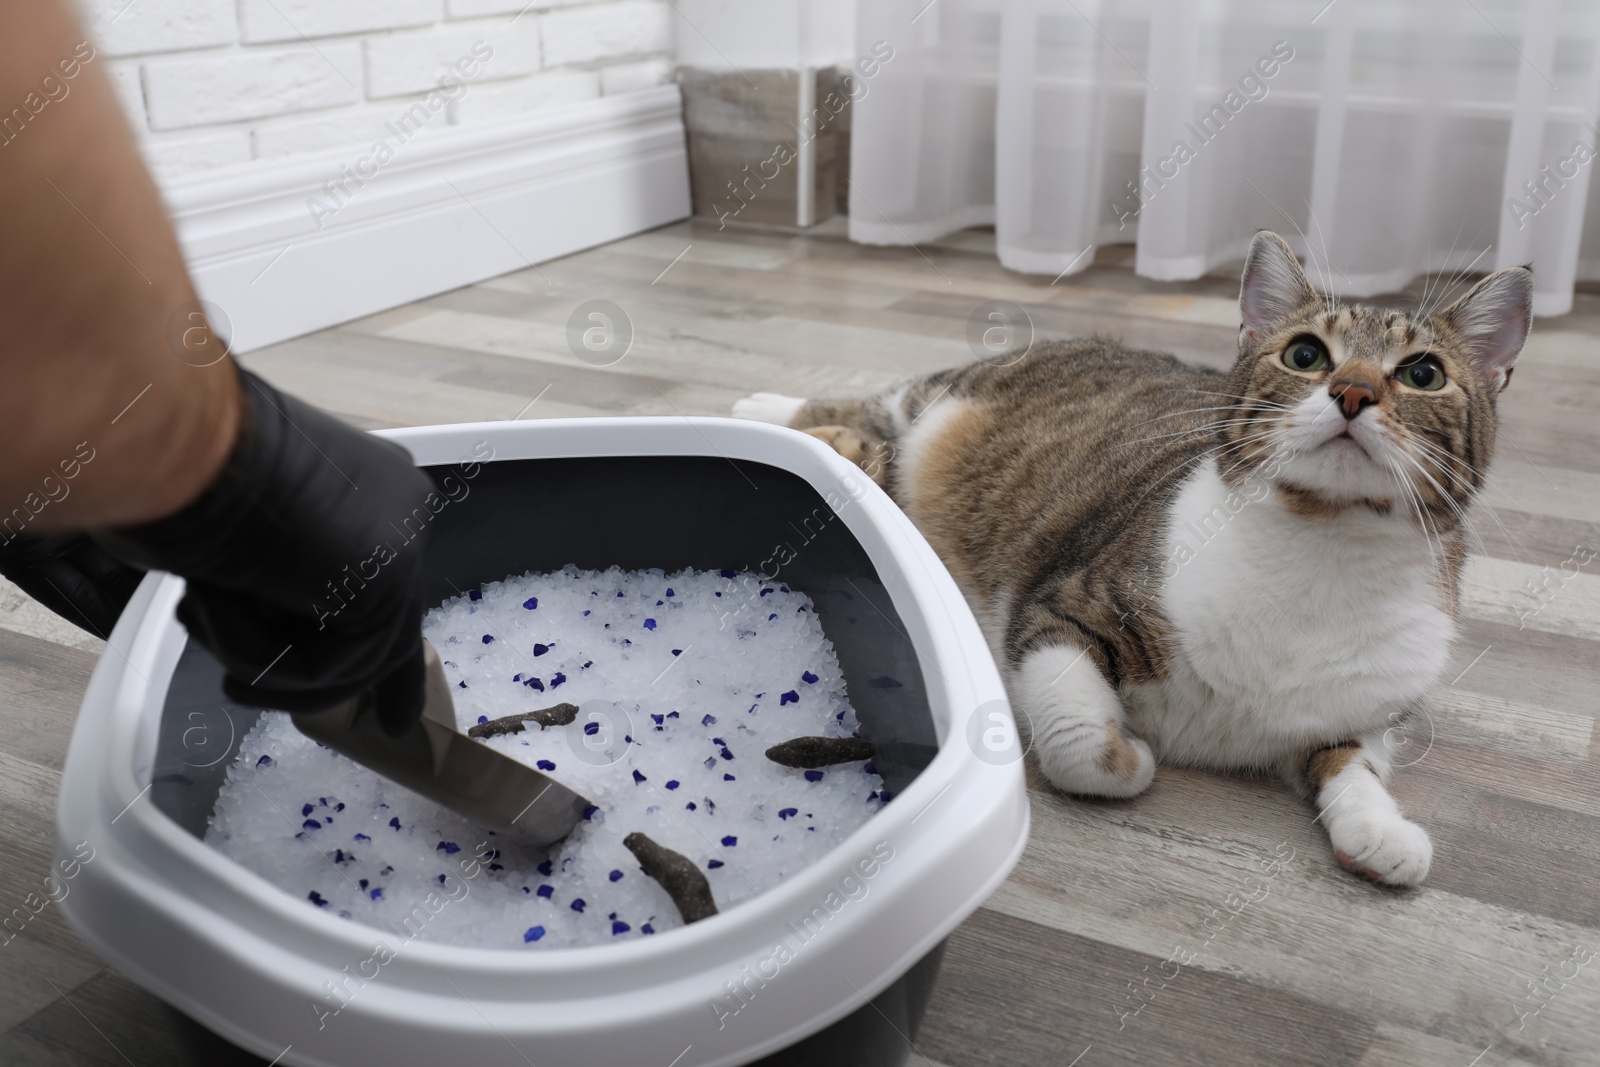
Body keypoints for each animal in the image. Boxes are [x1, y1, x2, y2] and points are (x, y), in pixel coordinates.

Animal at [732, 235, 1529, 895]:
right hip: (928, 414)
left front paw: (1379, 830)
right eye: (1306, 355)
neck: (1321, 548)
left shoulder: (1362, 705)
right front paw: (1134, 757)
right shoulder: (1064, 604)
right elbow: (1078, 742)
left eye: (1422, 373)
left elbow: (1354, 761)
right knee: (869, 411)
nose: (1354, 391)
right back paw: (763, 406)